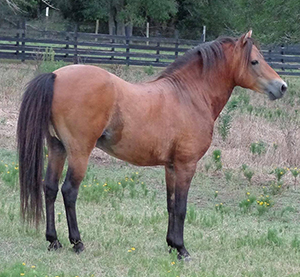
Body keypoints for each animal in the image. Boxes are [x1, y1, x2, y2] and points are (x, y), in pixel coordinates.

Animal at [17, 30, 288, 258]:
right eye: (254, 61)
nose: (282, 87)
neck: (189, 95)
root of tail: (56, 75)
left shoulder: (171, 166)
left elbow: (170, 205)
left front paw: (171, 244)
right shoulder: (186, 165)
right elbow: (181, 207)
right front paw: (182, 249)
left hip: (57, 148)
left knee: (50, 188)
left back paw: (53, 240)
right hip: (79, 153)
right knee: (69, 191)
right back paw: (77, 242)